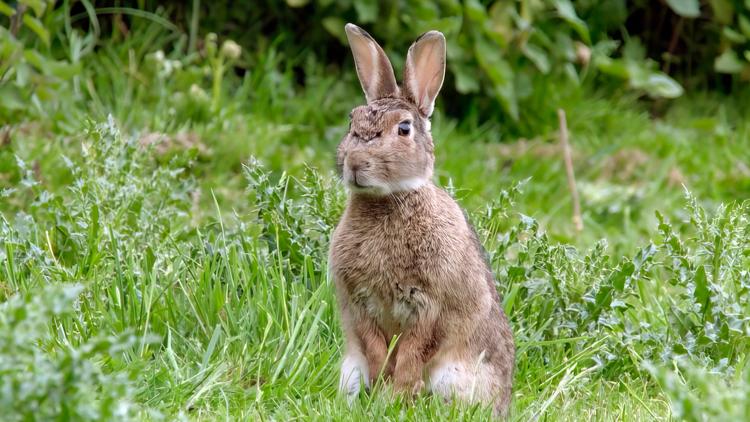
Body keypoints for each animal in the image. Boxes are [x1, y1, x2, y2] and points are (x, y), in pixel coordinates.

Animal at [330, 23, 516, 416]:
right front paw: (383, 391)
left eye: (404, 129)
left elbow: (414, 352)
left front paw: (395, 396)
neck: (389, 200)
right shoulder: (360, 303)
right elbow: (375, 348)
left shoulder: (429, 306)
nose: (355, 163)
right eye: (352, 122)